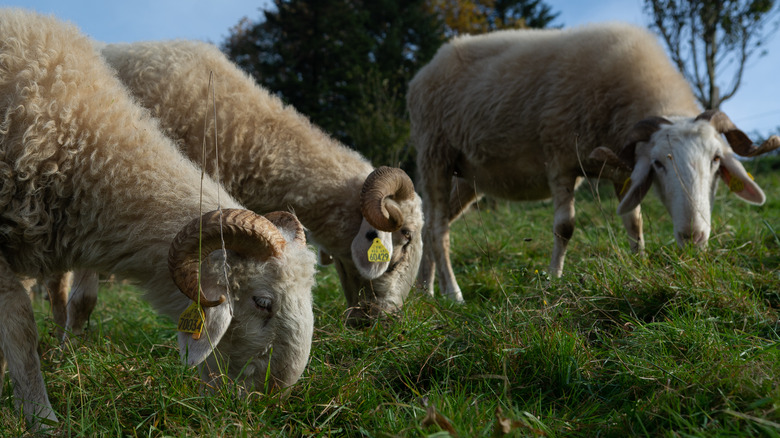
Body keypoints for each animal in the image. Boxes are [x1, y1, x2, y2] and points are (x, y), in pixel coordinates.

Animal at [408, 20, 780, 302]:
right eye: (659, 164)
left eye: (716, 160)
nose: (693, 237)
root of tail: (424, 70)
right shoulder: (559, 159)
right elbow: (565, 228)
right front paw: (553, 280)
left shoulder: (621, 169)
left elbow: (634, 221)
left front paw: (640, 264)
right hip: (434, 154)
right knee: (439, 230)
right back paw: (453, 294)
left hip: (466, 177)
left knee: (428, 225)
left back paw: (425, 290)